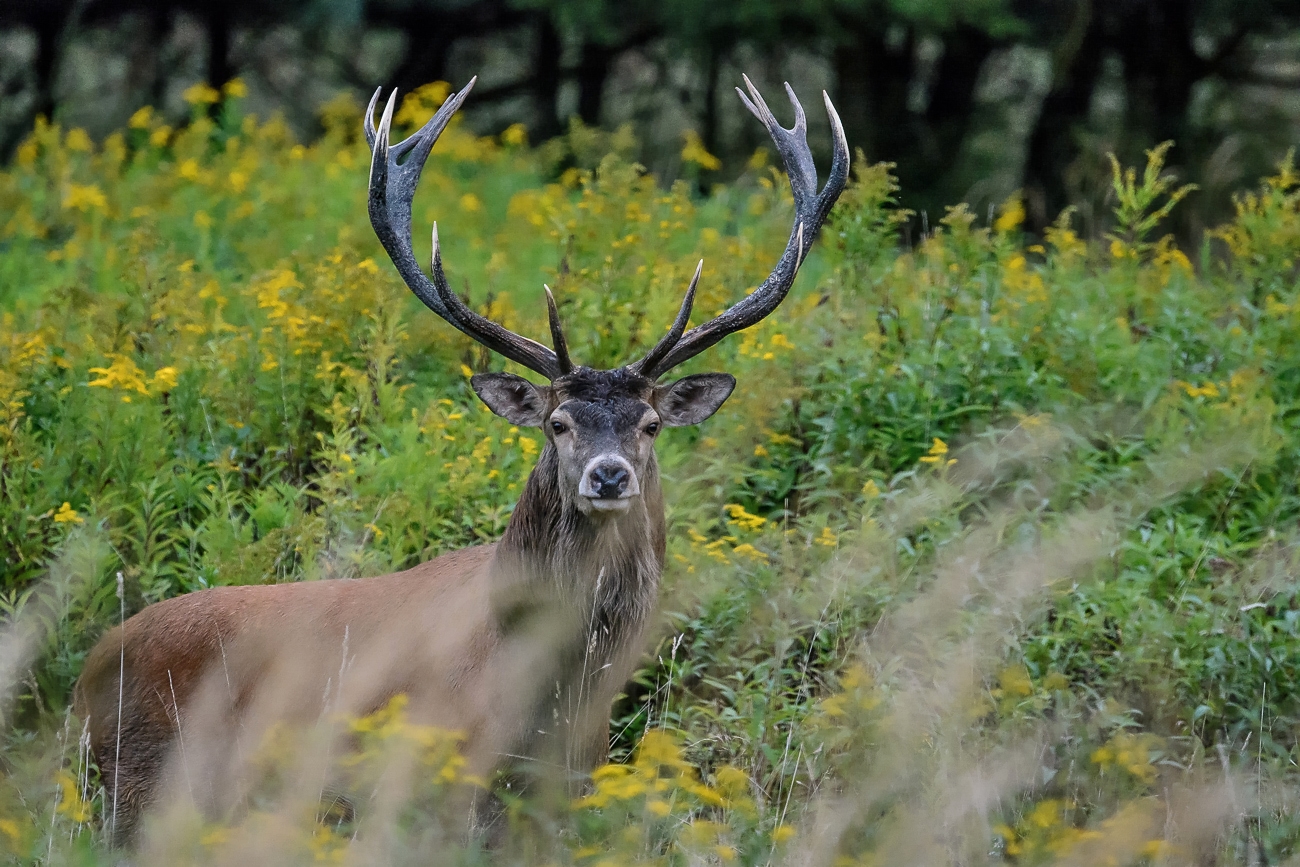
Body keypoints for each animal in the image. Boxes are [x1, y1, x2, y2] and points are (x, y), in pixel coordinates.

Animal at [76, 74, 852, 847]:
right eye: (557, 423)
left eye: (652, 424)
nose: (609, 474)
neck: (554, 693)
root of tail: (90, 665)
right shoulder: (435, 778)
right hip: (143, 782)